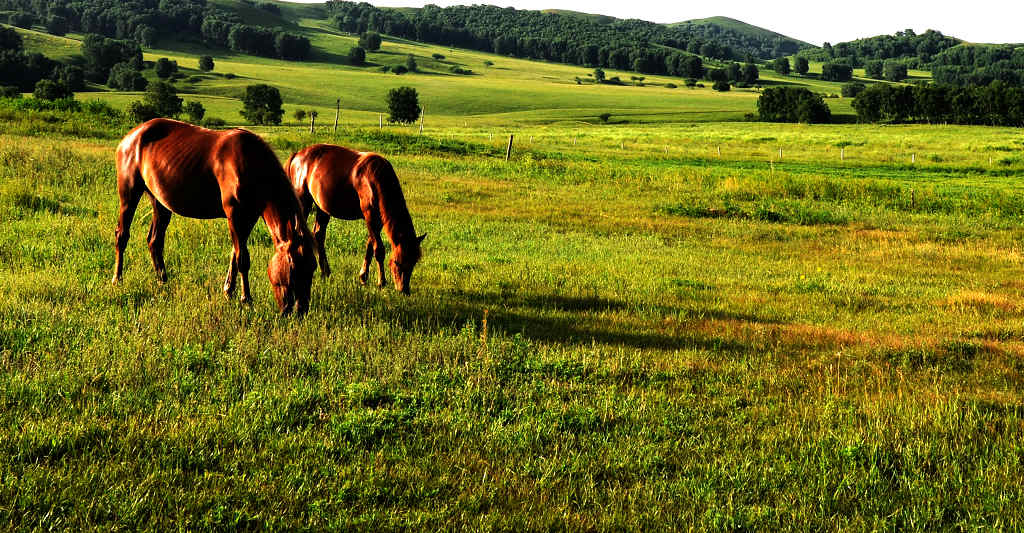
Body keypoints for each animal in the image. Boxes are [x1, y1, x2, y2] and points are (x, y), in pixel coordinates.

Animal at [112, 118, 317, 315]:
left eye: (313, 267)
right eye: (294, 267)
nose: (300, 310)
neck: (251, 164)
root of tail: (131, 137)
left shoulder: (249, 217)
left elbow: (235, 254)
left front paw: (229, 291)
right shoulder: (235, 214)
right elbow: (243, 259)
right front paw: (246, 299)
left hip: (160, 203)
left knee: (155, 241)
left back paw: (162, 281)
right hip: (129, 195)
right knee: (122, 235)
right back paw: (117, 279)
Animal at [285, 144, 424, 295]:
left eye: (413, 262)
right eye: (398, 262)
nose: (404, 290)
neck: (373, 178)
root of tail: (297, 155)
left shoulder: (378, 220)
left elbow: (370, 246)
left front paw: (363, 277)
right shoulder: (370, 216)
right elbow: (379, 250)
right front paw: (381, 282)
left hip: (322, 208)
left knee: (318, 235)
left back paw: (325, 272)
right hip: (303, 202)